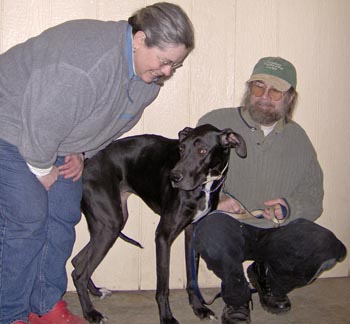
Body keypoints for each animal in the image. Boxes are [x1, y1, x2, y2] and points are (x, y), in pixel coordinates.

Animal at [71, 124, 246, 324]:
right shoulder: (163, 236)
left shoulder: (192, 232)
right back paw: (91, 313)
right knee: (79, 273)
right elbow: (163, 286)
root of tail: (86, 163)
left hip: (108, 224)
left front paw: (199, 308)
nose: (174, 177)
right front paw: (167, 317)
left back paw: (96, 292)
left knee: (78, 261)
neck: (204, 187)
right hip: (110, 225)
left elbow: (192, 277)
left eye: (202, 151)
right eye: (181, 149)